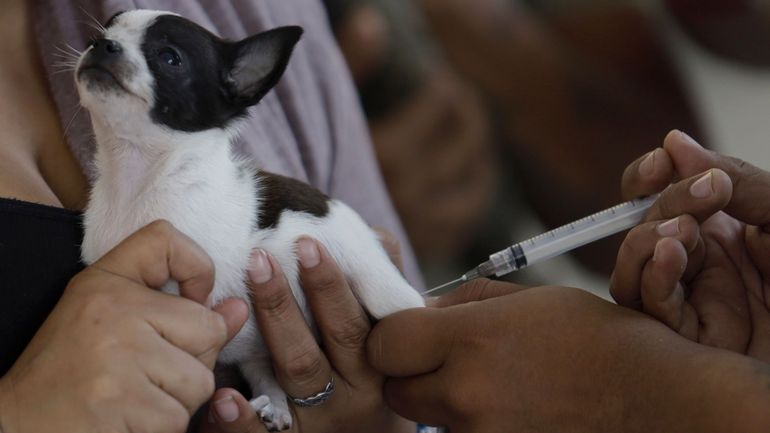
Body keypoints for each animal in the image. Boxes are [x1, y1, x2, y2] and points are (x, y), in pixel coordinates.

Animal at [75, 9, 424, 428]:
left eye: (170, 58)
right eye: (100, 34)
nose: (103, 45)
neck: (138, 180)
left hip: (382, 289)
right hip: (258, 355)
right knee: (263, 370)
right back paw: (274, 404)